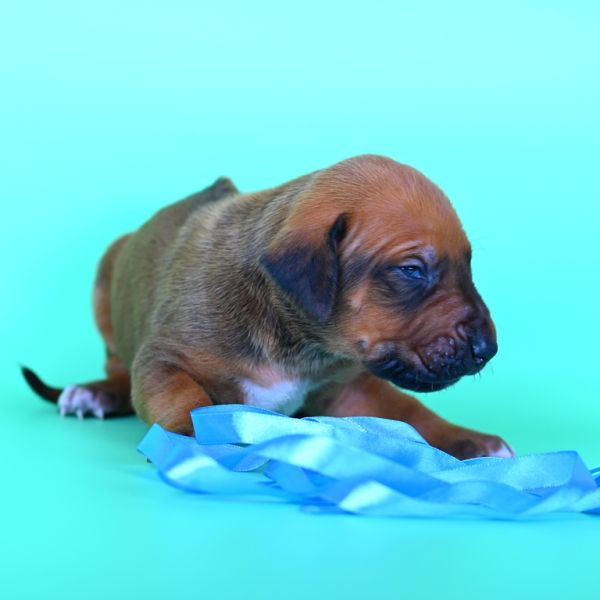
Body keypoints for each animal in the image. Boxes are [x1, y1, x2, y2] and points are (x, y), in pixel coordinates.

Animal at [23, 154, 514, 459]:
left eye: (468, 263)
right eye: (412, 270)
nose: (487, 349)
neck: (298, 341)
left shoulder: (346, 389)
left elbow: (412, 412)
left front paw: (470, 440)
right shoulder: (165, 359)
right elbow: (184, 401)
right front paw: (198, 444)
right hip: (106, 281)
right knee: (119, 372)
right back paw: (94, 394)